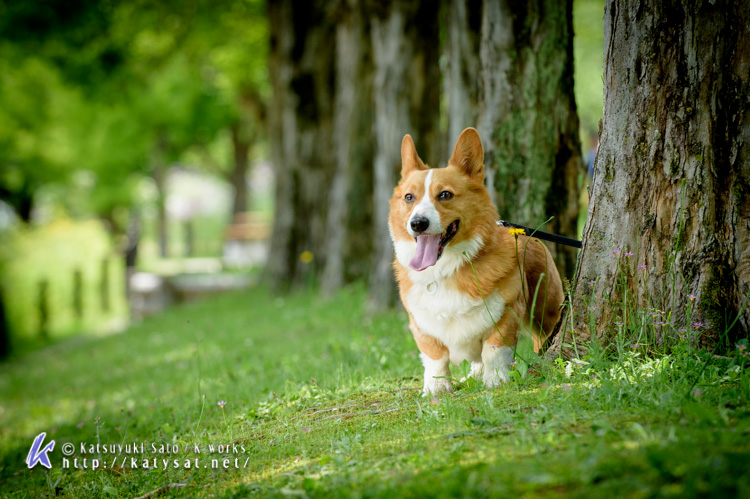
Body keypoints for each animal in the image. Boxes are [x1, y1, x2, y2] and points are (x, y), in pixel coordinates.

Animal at [394, 128, 564, 394]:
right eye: (409, 197)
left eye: (445, 194)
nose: (418, 223)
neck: (445, 269)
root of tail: (530, 233)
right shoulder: (421, 324)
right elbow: (435, 357)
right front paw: (436, 388)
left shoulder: (505, 315)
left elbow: (494, 351)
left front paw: (496, 381)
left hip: (545, 312)